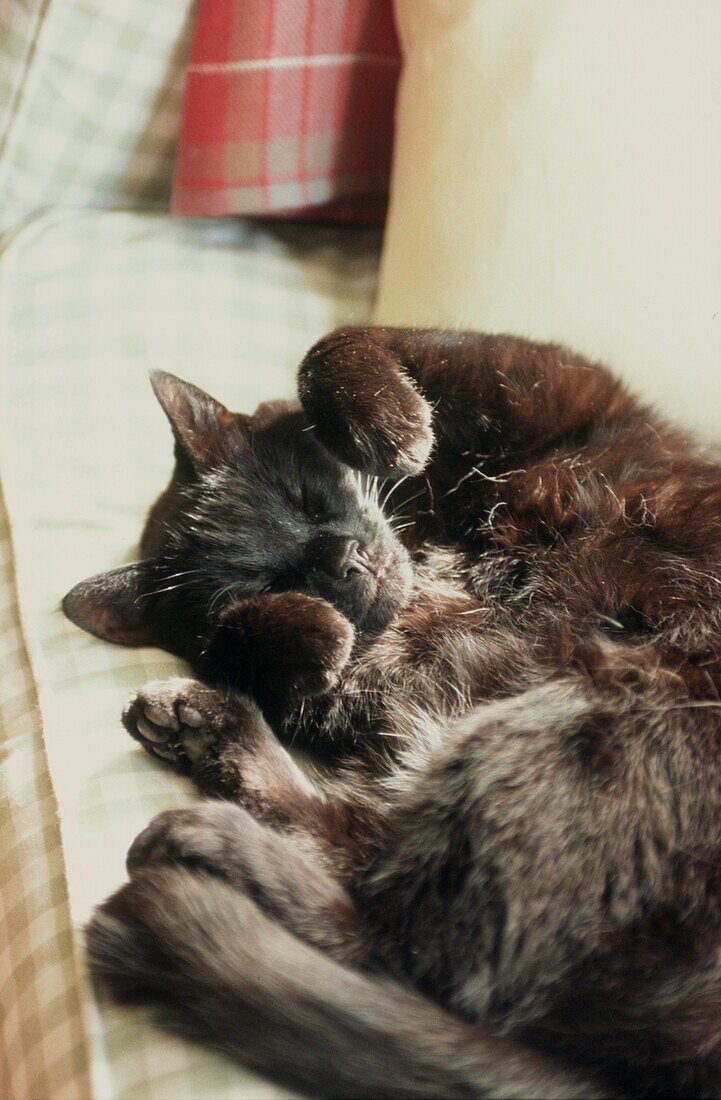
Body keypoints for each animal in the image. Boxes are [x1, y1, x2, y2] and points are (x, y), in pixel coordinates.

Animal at [63, 327, 721, 1100]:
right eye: (261, 578)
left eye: (303, 497)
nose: (343, 561)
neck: (434, 541)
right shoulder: (349, 689)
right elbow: (239, 643)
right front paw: (299, 625)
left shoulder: (547, 382)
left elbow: (341, 346)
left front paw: (394, 430)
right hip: (547, 728)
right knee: (398, 936)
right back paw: (196, 779)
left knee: (395, 921)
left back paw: (198, 784)